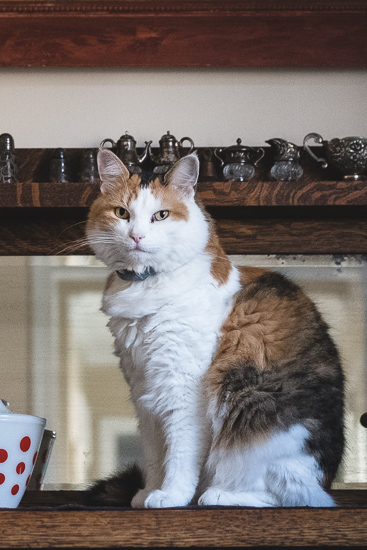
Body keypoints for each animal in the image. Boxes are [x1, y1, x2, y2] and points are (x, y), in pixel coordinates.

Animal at [86, 148, 344, 508]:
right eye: (122, 213)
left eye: (160, 215)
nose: (136, 236)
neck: (144, 284)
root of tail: (327, 479)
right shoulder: (143, 389)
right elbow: (155, 454)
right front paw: (149, 492)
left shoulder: (183, 386)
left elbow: (180, 452)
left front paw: (173, 495)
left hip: (255, 416)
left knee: (285, 494)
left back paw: (218, 495)